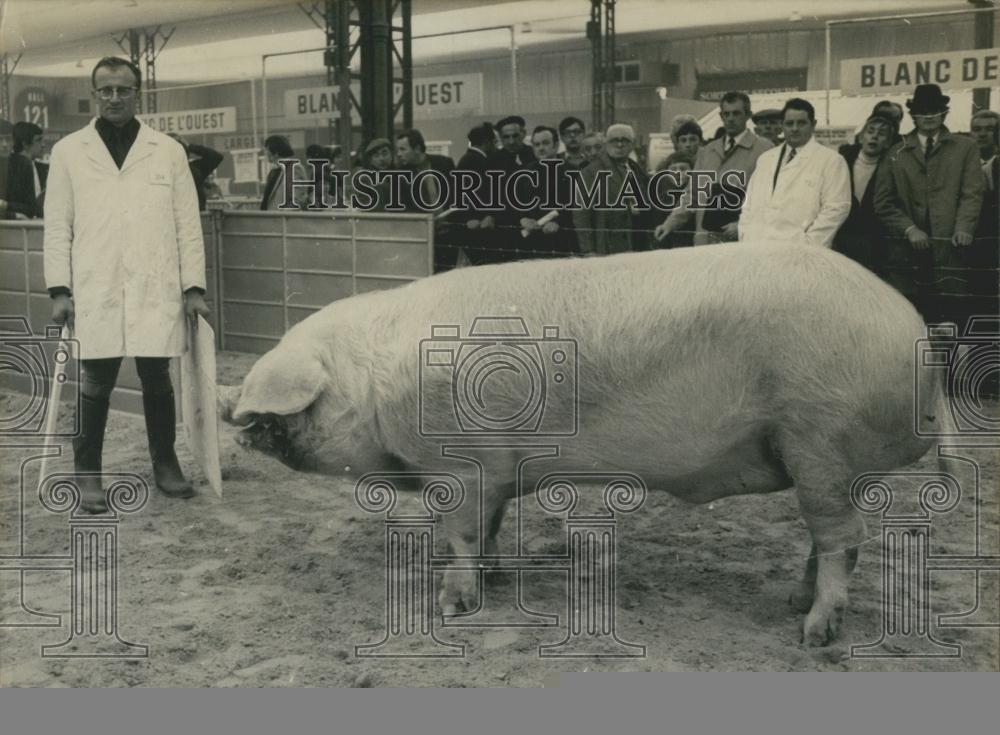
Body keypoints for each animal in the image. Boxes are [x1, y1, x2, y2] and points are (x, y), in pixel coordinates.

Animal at [221, 242, 952, 644]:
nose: (233, 414)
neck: (373, 382)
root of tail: (916, 335)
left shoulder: (460, 465)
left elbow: (461, 533)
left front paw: (453, 604)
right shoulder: (494, 468)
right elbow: (489, 528)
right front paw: (496, 577)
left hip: (819, 435)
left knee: (843, 539)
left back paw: (812, 633)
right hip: (823, 457)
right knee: (827, 538)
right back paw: (795, 603)